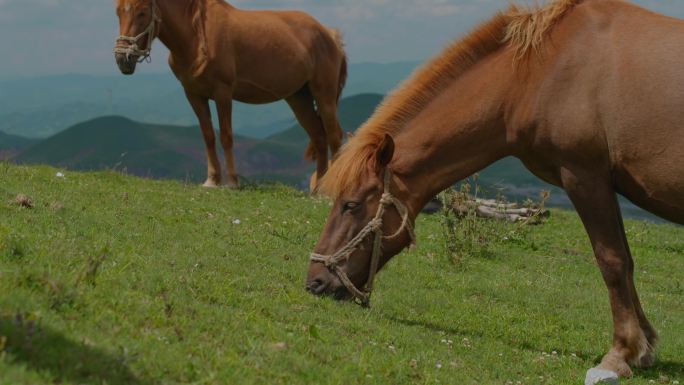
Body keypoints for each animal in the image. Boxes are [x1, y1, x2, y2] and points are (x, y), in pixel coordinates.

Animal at [115, 0, 348, 188]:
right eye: (118, 12)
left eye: (142, 12)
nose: (122, 59)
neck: (197, 34)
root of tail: (329, 34)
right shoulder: (193, 94)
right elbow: (208, 135)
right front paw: (212, 180)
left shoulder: (223, 92)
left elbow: (226, 136)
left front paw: (233, 181)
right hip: (299, 98)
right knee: (319, 136)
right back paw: (317, 188)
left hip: (324, 96)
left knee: (334, 136)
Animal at [306, 0, 684, 378]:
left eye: (351, 204)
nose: (314, 282)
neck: (539, 72)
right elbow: (627, 261)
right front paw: (643, 347)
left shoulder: (585, 177)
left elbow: (612, 261)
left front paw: (620, 353)